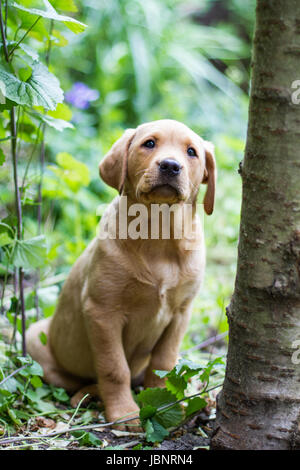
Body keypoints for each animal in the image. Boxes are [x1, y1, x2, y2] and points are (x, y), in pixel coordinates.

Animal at [27, 120, 216, 430]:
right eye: (149, 143)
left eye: (192, 152)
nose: (170, 165)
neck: (158, 238)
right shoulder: (103, 312)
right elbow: (114, 368)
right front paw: (124, 413)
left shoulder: (180, 313)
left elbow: (163, 364)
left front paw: (164, 405)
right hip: (35, 336)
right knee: (73, 379)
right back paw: (86, 395)